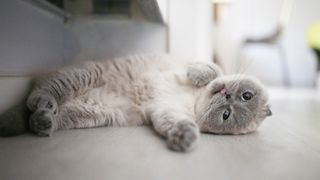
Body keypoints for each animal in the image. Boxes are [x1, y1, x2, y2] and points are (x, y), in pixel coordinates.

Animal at [0, 54, 272, 151]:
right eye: (246, 96)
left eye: (226, 115)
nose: (227, 96)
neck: (195, 99)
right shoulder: (184, 61)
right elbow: (211, 68)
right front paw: (203, 76)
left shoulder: (167, 112)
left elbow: (178, 124)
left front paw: (184, 138)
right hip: (86, 74)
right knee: (40, 93)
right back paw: (43, 103)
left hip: (92, 112)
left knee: (42, 115)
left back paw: (43, 121)